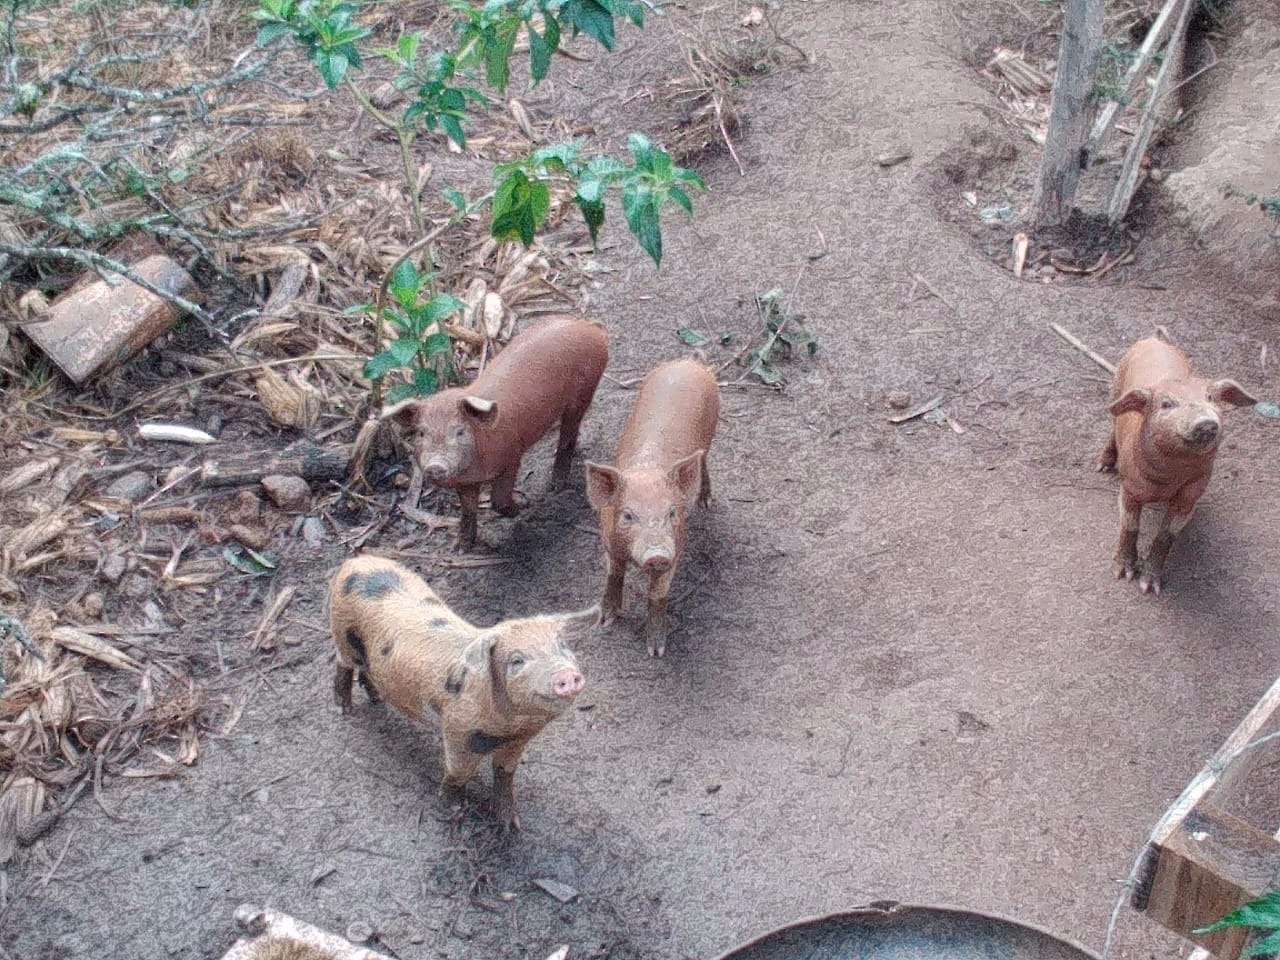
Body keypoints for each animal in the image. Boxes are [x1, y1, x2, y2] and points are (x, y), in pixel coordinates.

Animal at [327, 555, 591, 834]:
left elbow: (505, 774)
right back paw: (344, 709)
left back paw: (377, 699)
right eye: (517, 660)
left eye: (562, 647)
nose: (566, 675)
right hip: (342, 634)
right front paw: (457, 809)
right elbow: (459, 772)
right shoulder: (458, 729)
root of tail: (355, 561)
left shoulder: (517, 741)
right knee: (343, 665)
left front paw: (511, 827)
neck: (511, 726)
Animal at [381, 317, 606, 547]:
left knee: (569, 432)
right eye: (421, 433)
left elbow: (498, 500)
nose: (436, 465)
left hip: (585, 390)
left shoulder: (512, 456)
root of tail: (590, 328)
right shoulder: (466, 482)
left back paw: (557, 486)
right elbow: (468, 510)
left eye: (460, 432)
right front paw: (461, 547)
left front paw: (523, 507)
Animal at [583, 360, 716, 660]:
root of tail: (690, 361)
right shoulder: (607, 541)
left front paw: (656, 652)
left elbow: (658, 595)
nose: (656, 554)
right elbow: (613, 575)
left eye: (672, 513)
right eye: (627, 515)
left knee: (703, 461)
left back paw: (706, 502)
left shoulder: (677, 548)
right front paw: (603, 622)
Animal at [1095, 335, 1254, 593]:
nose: (1206, 422)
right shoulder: (1129, 487)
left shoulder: (1191, 493)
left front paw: (1149, 587)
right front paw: (1123, 575)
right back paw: (1102, 465)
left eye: (1210, 398)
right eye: (1167, 404)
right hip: (1116, 387)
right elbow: (1129, 526)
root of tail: (1154, 338)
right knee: (1112, 422)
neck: (1167, 479)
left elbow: (1166, 536)